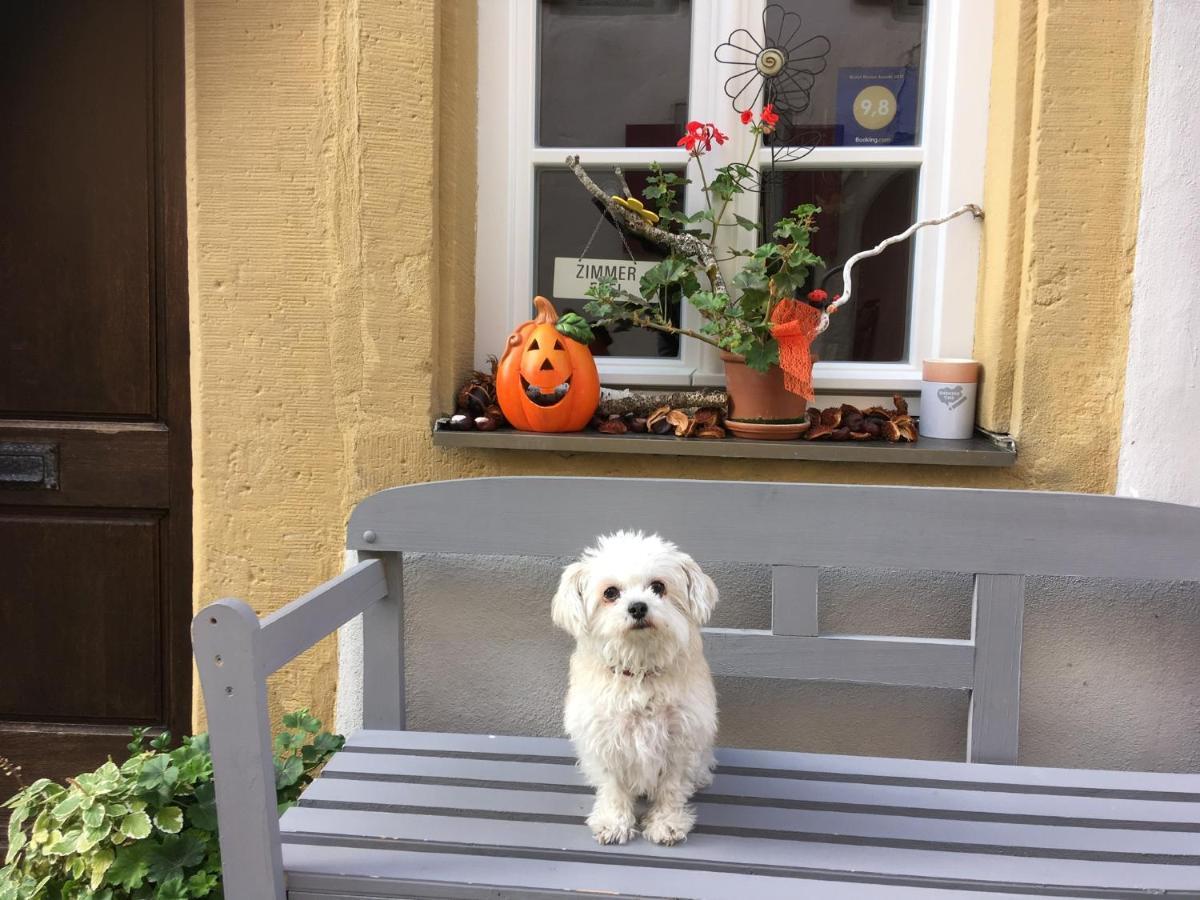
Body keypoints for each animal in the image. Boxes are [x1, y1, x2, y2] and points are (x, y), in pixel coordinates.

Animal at [554, 532, 720, 849]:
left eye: (658, 587)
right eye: (610, 593)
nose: (638, 607)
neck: (640, 672)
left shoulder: (681, 739)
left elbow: (671, 788)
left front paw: (667, 823)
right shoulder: (604, 738)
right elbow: (613, 787)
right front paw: (613, 822)